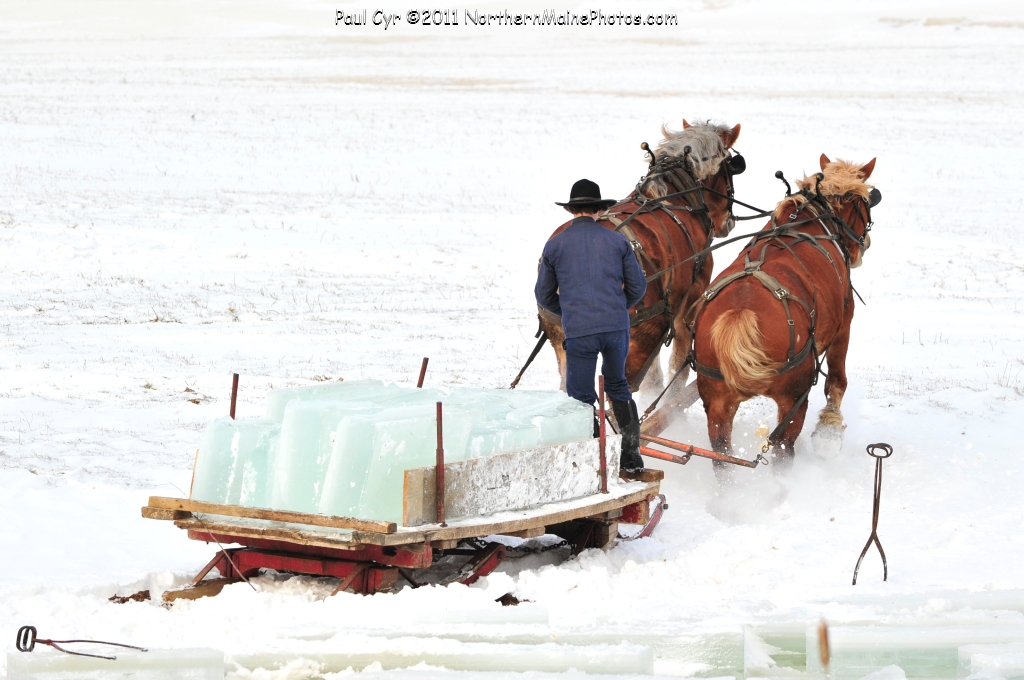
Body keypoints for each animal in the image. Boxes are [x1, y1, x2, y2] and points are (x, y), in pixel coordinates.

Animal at [536, 119, 745, 432]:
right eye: (730, 169)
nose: (727, 223)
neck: (675, 196)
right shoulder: (687, 304)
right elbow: (677, 367)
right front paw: (673, 411)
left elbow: (655, 376)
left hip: (563, 340)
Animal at [692, 156, 884, 466]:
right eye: (866, 202)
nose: (862, 247)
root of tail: (740, 313)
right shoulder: (844, 324)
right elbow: (837, 381)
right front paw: (829, 432)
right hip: (793, 398)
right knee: (783, 449)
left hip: (717, 403)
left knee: (722, 456)